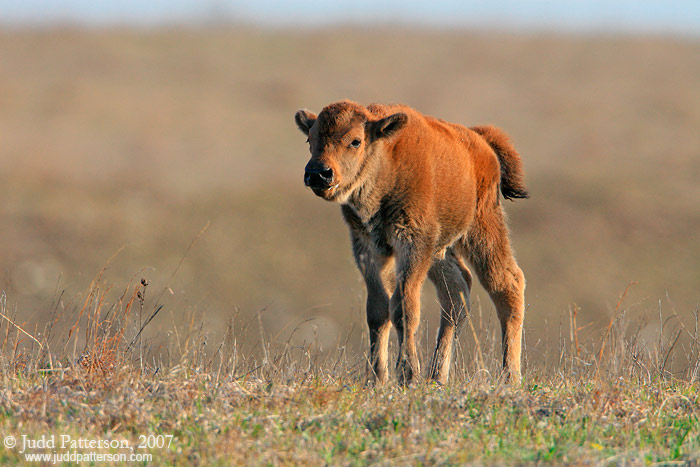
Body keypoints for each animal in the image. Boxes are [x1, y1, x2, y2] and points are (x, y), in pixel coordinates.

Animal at [292, 100, 528, 386]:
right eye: (310, 139)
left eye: (356, 141)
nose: (318, 174)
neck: (386, 160)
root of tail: (479, 140)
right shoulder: (368, 247)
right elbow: (377, 310)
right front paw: (376, 378)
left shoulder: (413, 244)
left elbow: (404, 307)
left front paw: (407, 374)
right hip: (440, 251)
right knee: (456, 292)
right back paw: (437, 376)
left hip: (482, 228)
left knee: (507, 285)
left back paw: (510, 376)